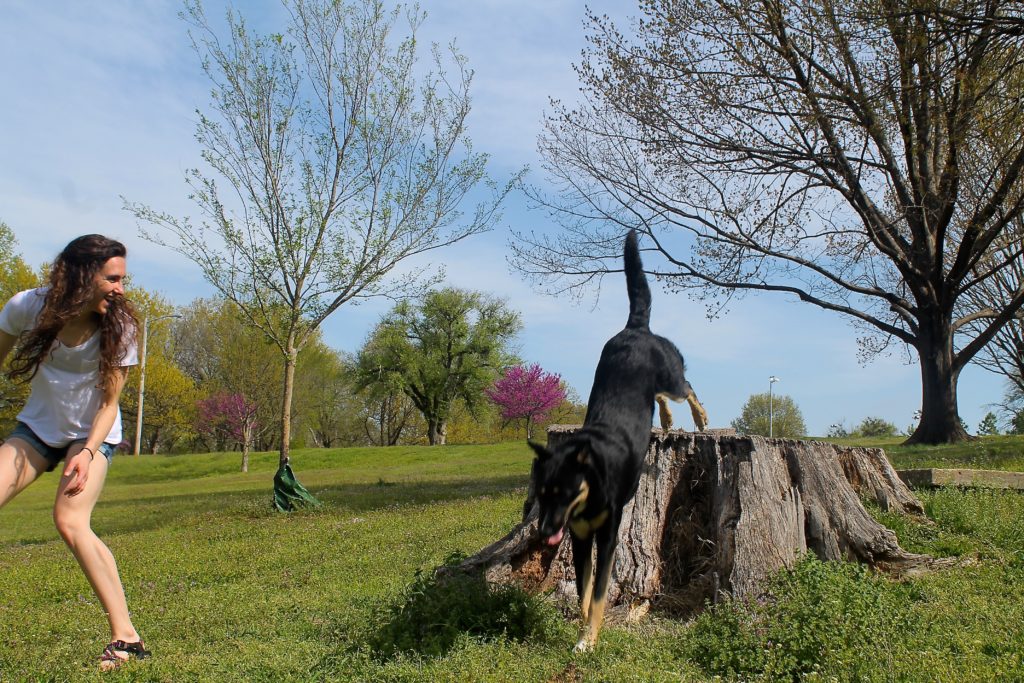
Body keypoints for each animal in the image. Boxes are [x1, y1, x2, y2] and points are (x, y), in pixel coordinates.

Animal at [528, 231, 704, 651]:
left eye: (564, 492)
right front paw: (582, 631)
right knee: (661, 399)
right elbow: (583, 590)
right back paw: (668, 420)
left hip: (670, 374)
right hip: (651, 387)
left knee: (687, 387)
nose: (543, 533)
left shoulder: (608, 536)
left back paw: (700, 418)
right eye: (542, 494)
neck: (592, 480)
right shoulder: (579, 538)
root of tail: (635, 328)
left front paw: (589, 639)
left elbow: (599, 593)